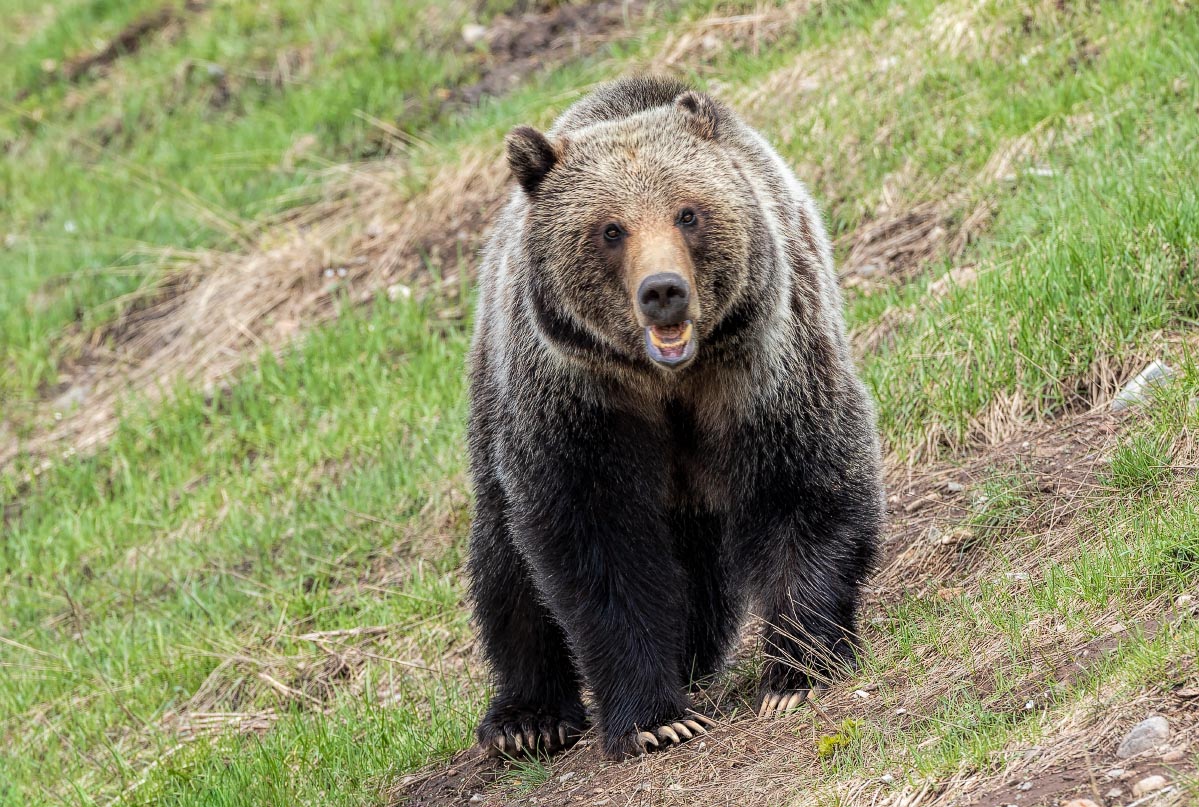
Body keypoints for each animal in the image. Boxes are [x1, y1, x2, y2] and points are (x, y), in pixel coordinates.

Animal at [462, 74, 887, 757]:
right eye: (610, 229)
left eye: (688, 213)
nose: (663, 290)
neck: (671, 381)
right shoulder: (582, 406)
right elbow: (596, 543)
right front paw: (657, 718)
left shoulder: (765, 371)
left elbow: (805, 484)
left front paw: (797, 671)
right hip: (495, 402)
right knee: (504, 556)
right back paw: (528, 717)